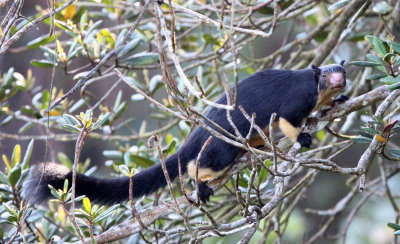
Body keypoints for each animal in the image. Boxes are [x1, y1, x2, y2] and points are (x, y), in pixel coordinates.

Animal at [22, 61, 346, 204]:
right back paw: (200, 184)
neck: (317, 94)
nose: (339, 81)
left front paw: (340, 100)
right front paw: (302, 136)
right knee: (197, 164)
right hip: (220, 148)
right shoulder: (296, 100)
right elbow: (289, 121)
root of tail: (198, 134)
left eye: (342, 69)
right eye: (325, 74)